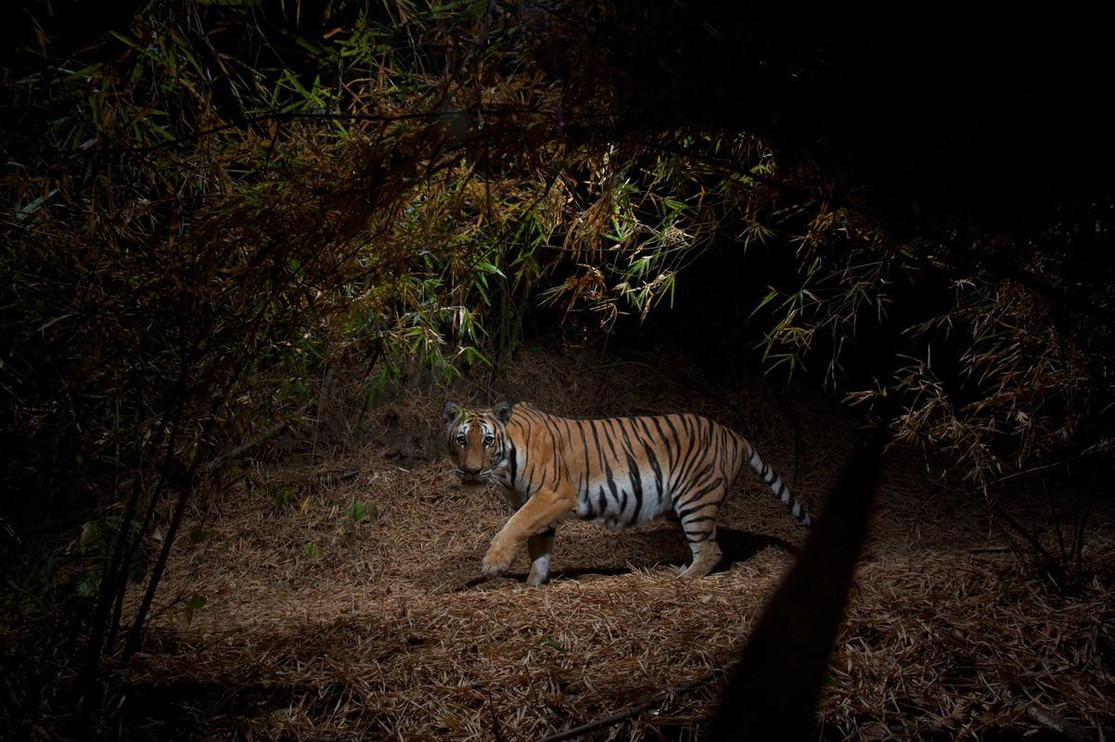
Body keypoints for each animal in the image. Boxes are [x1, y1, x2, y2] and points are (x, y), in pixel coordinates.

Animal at [441, 400, 814, 586]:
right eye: (461, 439)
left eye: (488, 440)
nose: (471, 471)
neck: (506, 468)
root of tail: (734, 434)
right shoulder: (539, 504)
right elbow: (539, 546)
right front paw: (534, 583)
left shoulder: (553, 495)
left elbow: (515, 526)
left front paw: (493, 564)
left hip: (696, 499)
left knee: (711, 551)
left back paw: (681, 579)